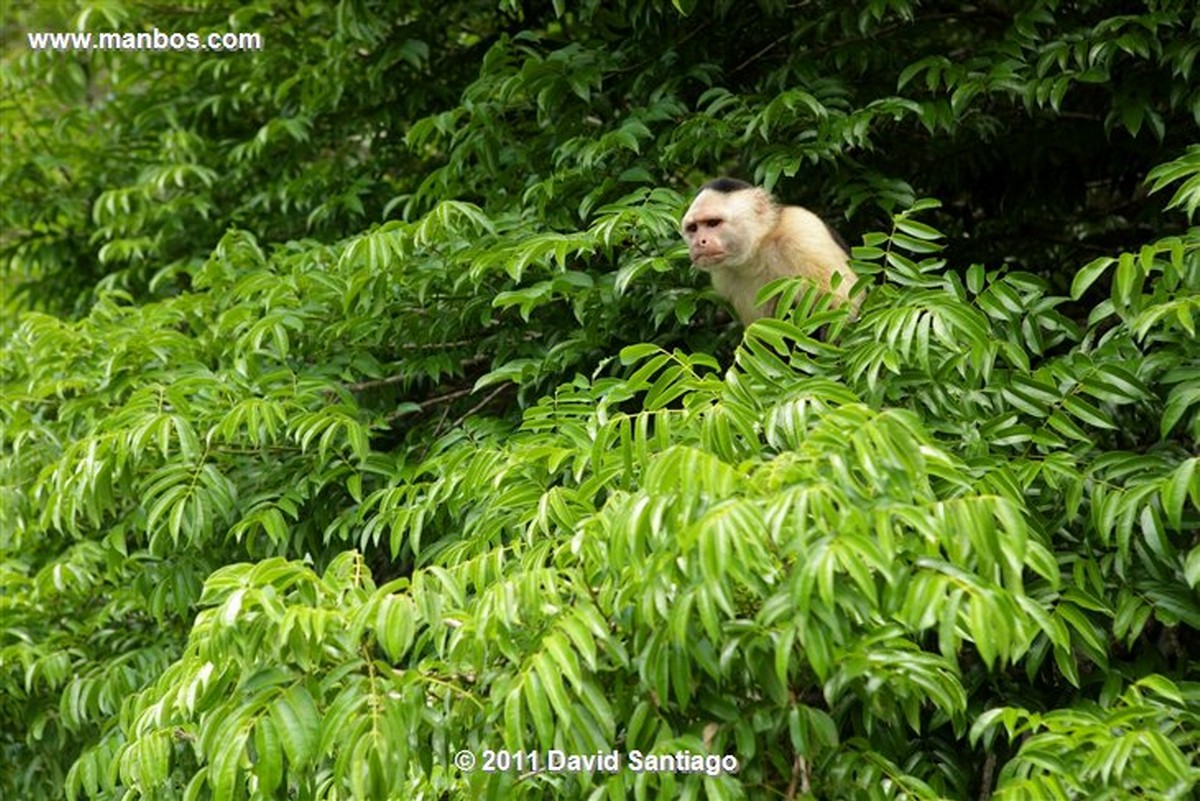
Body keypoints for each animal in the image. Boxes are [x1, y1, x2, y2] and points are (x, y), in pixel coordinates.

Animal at [681, 178, 859, 326]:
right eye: (693, 228)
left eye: (713, 223)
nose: (699, 242)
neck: (758, 249)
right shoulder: (726, 277)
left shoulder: (800, 232)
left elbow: (842, 309)